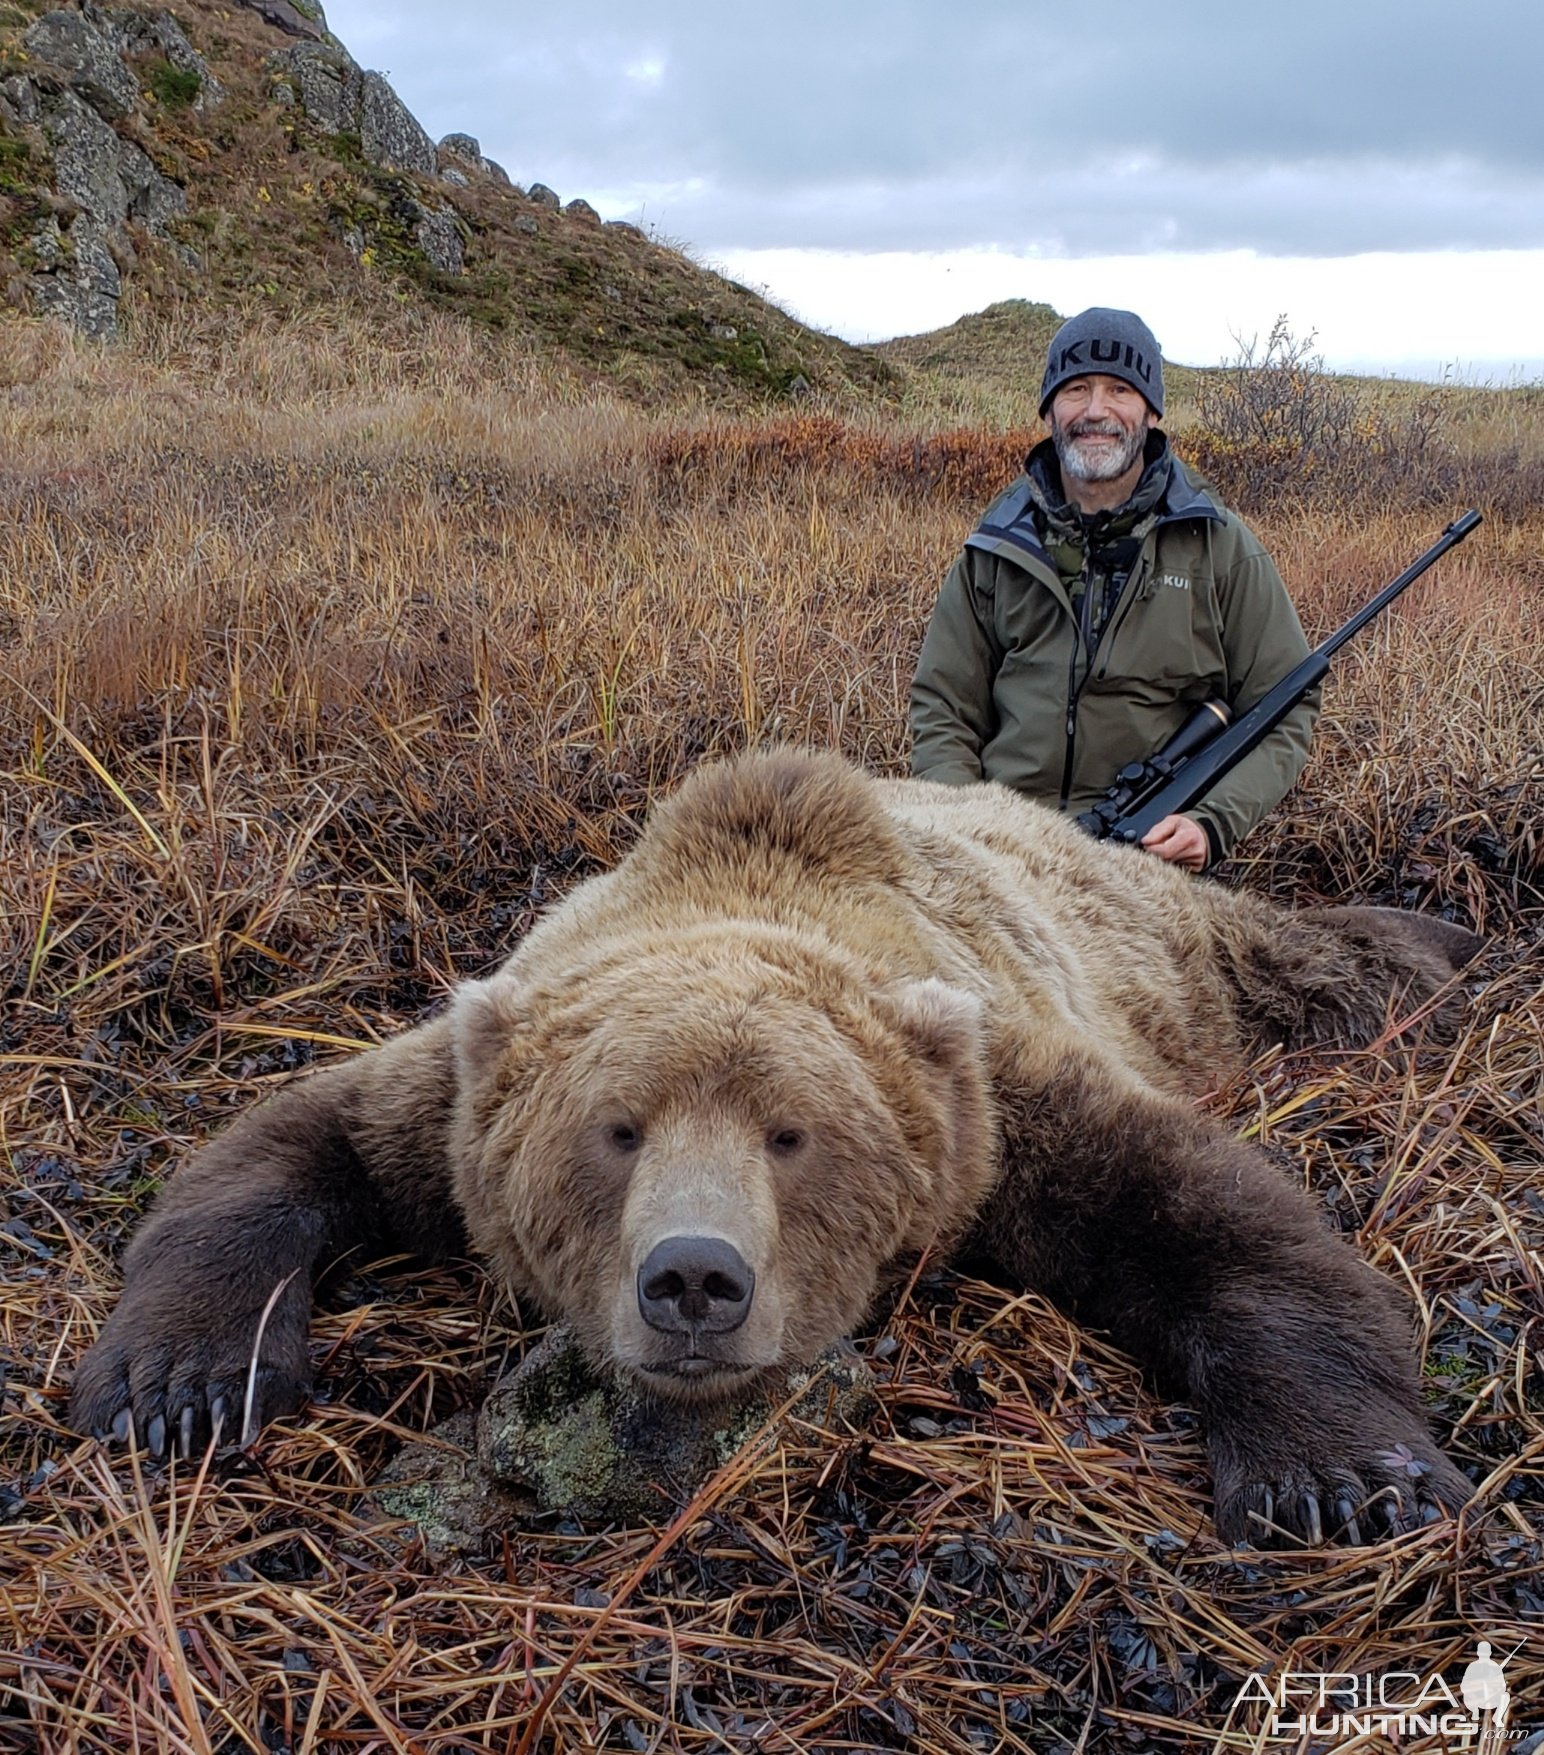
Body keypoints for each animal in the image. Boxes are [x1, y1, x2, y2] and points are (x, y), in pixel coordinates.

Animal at [66, 747, 1480, 1544]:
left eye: (791, 1135)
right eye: (617, 1130)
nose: (694, 1277)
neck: (742, 880)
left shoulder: (991, 1095)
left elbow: (1207, 1211)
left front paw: (1338, 1478)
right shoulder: (457, 1093)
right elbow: (293, 1143)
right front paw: (179, 1387)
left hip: (1176, 947)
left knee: (1303, 955)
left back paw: (1447, 941)